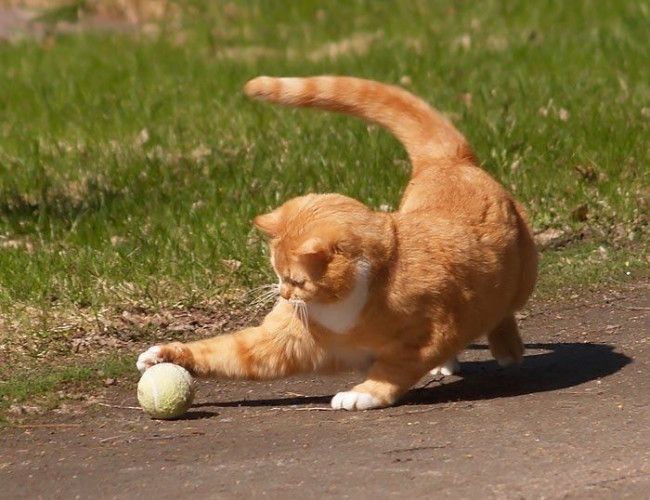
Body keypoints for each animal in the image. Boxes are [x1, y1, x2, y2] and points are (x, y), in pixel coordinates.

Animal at [137, 75, 536, 410]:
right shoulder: (277, 343)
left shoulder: (429, 334)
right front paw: (164, 354)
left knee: (503, 312)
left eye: (295, 280)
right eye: (277, 275)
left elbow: (392, 369)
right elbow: (223, 351)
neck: (345, 308)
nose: (284, 296)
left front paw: (363, 394)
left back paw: (507, 348)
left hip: (522, 278)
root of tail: (448, 162)